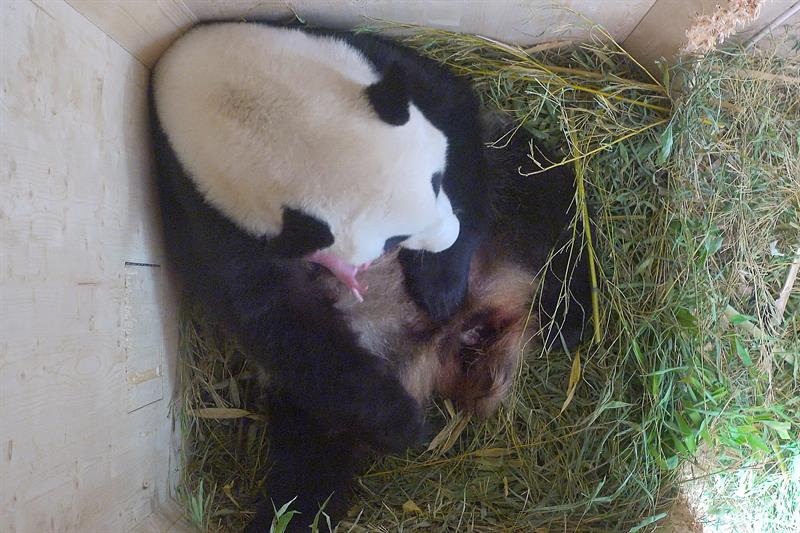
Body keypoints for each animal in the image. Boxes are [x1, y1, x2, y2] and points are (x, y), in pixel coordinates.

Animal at [149, 21, 489, 461]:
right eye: (392, 239)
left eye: (435, 179)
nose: (449, 236)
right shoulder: (209, 211)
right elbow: (278, 320)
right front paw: (402, 422)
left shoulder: (356, 53)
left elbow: (453, 108)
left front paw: (441, 286)